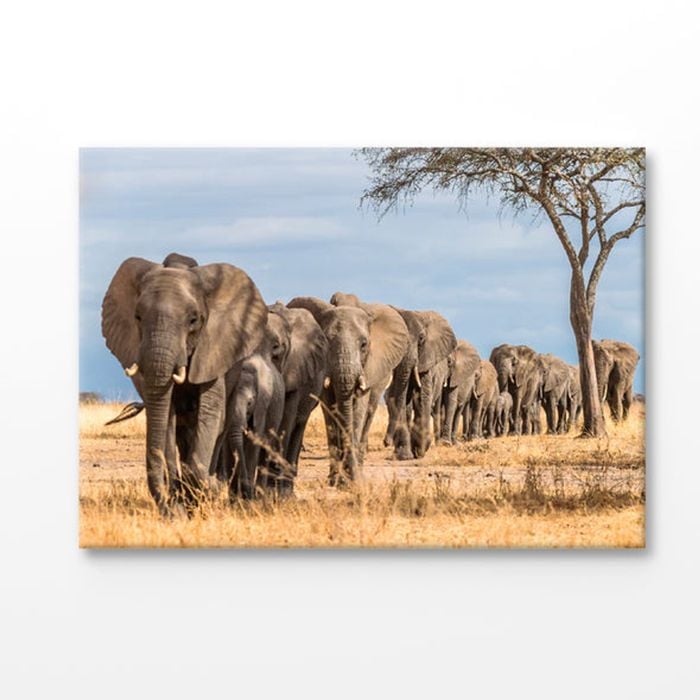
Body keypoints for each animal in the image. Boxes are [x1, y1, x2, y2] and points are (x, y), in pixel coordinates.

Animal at [101, 253, 267, 515]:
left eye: (193, 320)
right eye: (137, 317)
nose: (168, 511)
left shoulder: (214, 349)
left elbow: (210, 412)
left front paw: (208, 490)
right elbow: (165, 416)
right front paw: (180, 505)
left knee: (219, 426)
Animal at [287, 295, 409, 484]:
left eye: (364, 344)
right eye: (326, 341)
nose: (349, 479)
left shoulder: (369, 367)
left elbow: (358, 410)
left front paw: (352, 479)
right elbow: (330, 411)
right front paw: (336, 480)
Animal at [382, 308, 457, 458]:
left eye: (421, 338)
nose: (385, 443)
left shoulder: (426, 360)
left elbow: (422, 396)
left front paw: (419, 449)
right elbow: (402, 399)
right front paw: (405, 454)